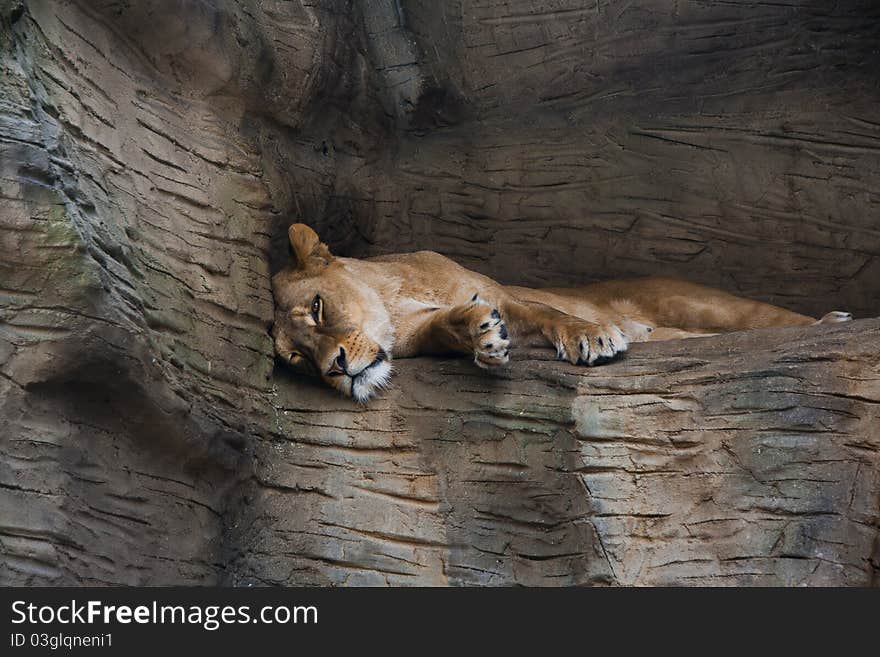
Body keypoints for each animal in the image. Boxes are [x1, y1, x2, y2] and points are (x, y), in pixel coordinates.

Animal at [274, 223, 852, 402]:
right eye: (296, 360)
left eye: (318, 309)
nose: (335, 368)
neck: (392, 305)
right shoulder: (421, 332)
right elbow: (452, 324)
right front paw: (483, 337)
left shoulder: (504, 293)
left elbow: (550, 314)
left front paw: (592, 337)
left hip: (697, 300)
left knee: (769, 319)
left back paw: (832, 323)